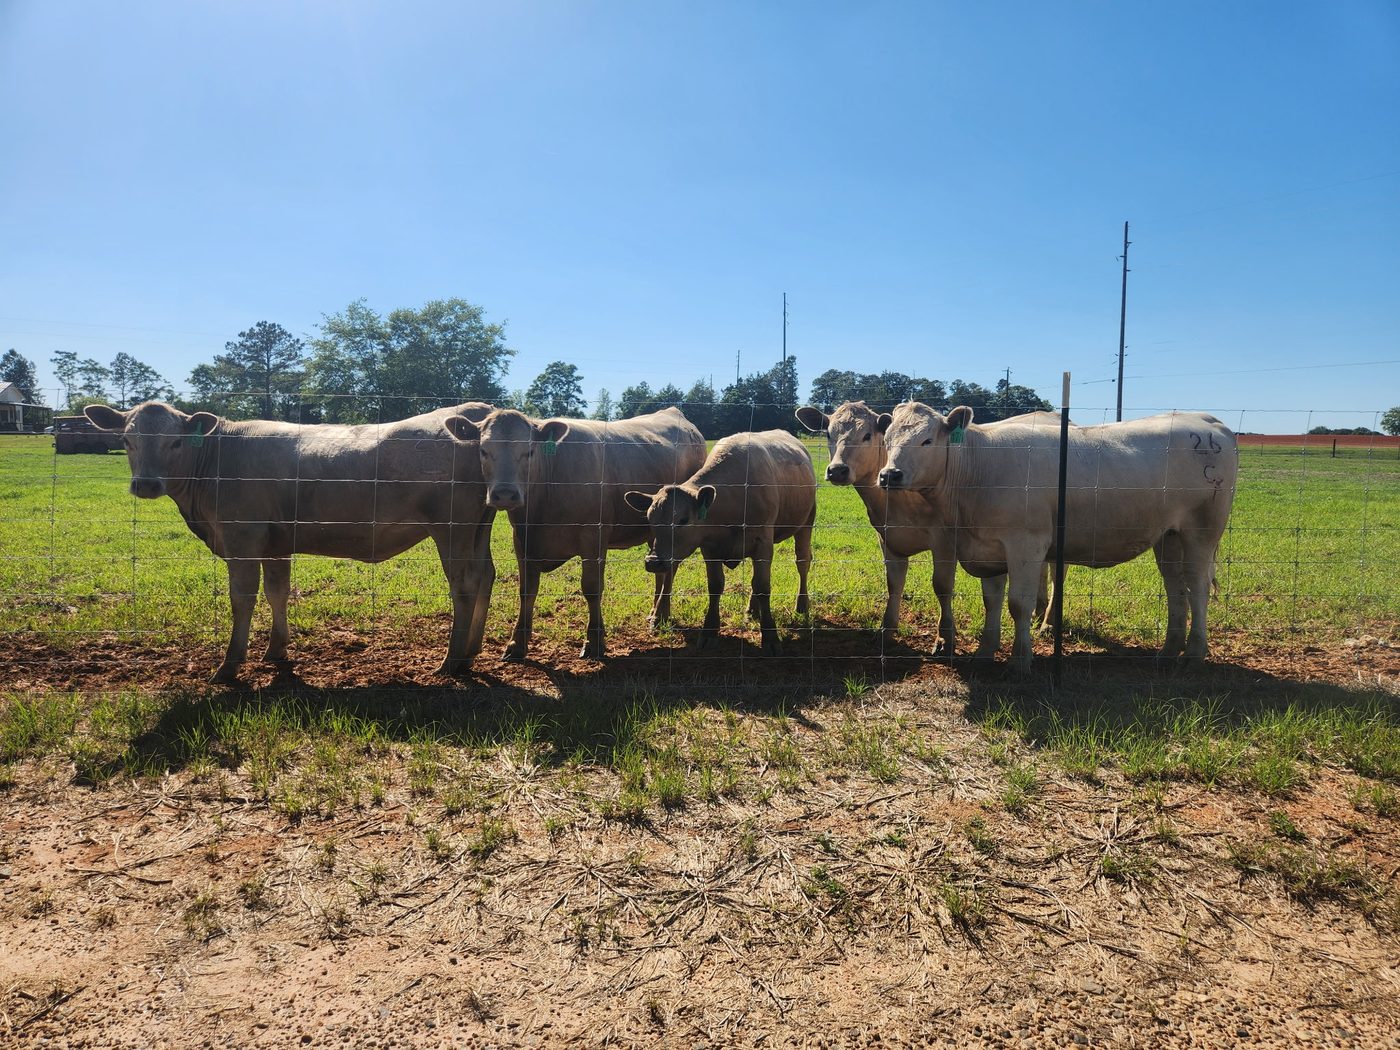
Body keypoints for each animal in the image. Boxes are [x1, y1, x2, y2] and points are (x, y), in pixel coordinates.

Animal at [84, 400, 497, 683]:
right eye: (126, 440)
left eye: (175, 442)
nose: (146, 484)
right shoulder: (276, 543)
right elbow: (277, 592)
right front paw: (275, 649)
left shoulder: (242, 538)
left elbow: (242, 599)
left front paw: (229, 665)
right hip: (478, 529)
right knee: (486, 575)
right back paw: (471, 650)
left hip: (452, 528)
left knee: (464, 584)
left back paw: (452, 661)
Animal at [442, 407, 706, 661]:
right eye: (483, 450)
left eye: (529, 451)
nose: (505, 494)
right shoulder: (522, 540)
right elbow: (526, 590)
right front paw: (517, 644)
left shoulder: (593, 538)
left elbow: (591, 588)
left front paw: (594, 642)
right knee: (661, 570)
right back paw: (655, 613)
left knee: (670, 568)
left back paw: (660, 616)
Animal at [622, 430, 816, 655]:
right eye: (650, 518)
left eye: (683, 520)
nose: (653, 562)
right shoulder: (709, 547)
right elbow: (716, 585)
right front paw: (709, 631)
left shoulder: (763, 543)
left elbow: (762, 586)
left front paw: (770, 636)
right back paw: (752, 609)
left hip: (807, 521)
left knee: (802, 562)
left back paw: (801, 604)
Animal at [795, 402, 1062, 658]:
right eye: (829, 433)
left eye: (867, 435)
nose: (837, 470)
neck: (898, 501)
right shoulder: (887, 537)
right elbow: (894, 583)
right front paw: (886, 630)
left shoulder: (944, 539)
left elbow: (942, 587)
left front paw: (945, 639)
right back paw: (1039, 610)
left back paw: (1048, 621)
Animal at [875, 403, 1237, 671]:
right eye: (887, 439)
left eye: (926, 441)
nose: (889, 474)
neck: (978, 468)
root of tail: (1208, 421)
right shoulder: (988, 547)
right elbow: (992, 600)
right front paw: (985, 652)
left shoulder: (1025, 543)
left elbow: (1018, 604)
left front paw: (1020, 660)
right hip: (1169, 536)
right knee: (1176, 588)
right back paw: (1169, 651)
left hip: (1202, 531)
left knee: (1197, 588)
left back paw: (1194, 653)